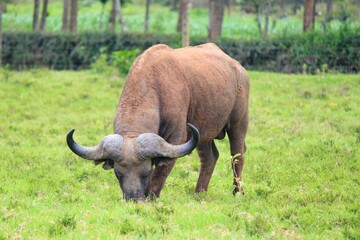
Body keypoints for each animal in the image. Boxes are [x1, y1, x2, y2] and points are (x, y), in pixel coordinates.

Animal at [66, 42, 249, 201]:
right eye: (118, 174)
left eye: (146, 173)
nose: (133, 198)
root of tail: (239, 68)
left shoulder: (176, 138)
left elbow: (161, 172)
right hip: (203, 133)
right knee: (210, 157)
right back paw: (199, 193)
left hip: (239, 122)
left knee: (237, 155)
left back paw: (237, 192)